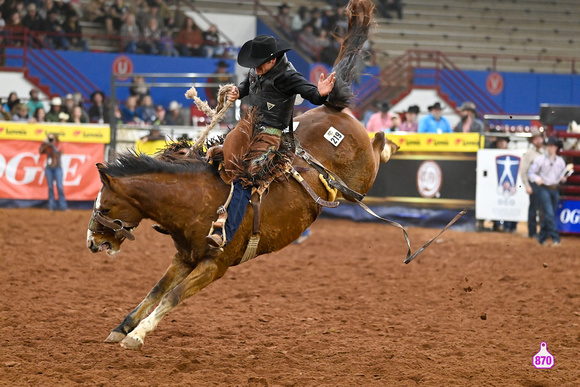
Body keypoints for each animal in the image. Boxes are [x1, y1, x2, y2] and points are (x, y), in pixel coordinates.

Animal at [86, 0, 394, 352]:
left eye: (105, 208)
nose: (93, 243)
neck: (196, 201)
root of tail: (334, 109)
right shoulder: (184, 258)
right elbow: (156, 291)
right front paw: (122, 327)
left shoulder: (214, 265)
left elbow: (172, 296)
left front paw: (137, 334)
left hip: (361, 178)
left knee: (378, 145)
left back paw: (389, 141)